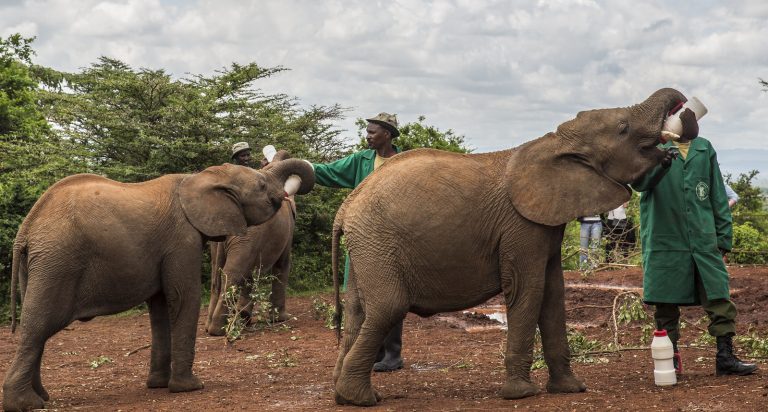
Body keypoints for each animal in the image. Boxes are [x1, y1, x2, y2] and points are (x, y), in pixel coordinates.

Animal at [206, 150, 299, 336]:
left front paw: (245, 317)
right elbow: (283, 264)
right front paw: (281, 319)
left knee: (217, 274)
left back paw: (211, 326)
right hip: (245, 235)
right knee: (232, 272)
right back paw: (219, 329)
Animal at [329, 88, 689, 406]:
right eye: (623, 128)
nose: (683, 112)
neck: (555, 142)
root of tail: (346, 207)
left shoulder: (545, 224)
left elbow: (554, 294)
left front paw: (571, 388)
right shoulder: (521, 226)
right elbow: (528, 289)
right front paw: (522, 393)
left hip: (367, 246)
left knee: (358, 311)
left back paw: (343, 395)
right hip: (377, 241)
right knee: (388, 307)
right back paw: (360, 399)